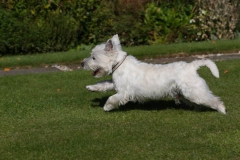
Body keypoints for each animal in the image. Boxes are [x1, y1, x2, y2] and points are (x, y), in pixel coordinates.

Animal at [81, 34, 226, 114]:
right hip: (186, 92)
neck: (119, 64)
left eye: (94, 57)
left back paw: (222, 110)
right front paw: (91, 88)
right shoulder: (116, 84)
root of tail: (192, 66)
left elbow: (112, 98)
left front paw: (106, 107)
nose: (82, 63)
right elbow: (103, 83)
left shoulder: (124, 92)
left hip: (194, 91)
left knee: (213, 100)